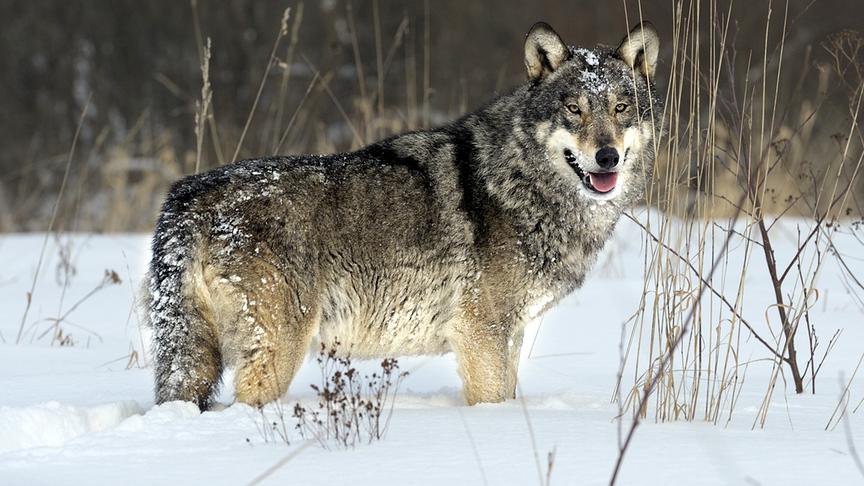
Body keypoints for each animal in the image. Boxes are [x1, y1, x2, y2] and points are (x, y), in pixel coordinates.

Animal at [144, 22, 662, 409]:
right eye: (574, 109)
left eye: (621, 108)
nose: (607, 157)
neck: (518, 180)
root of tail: (187, 194)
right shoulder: (482, 333)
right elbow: (493, 401)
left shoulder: (509, 334)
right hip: (277, 352)